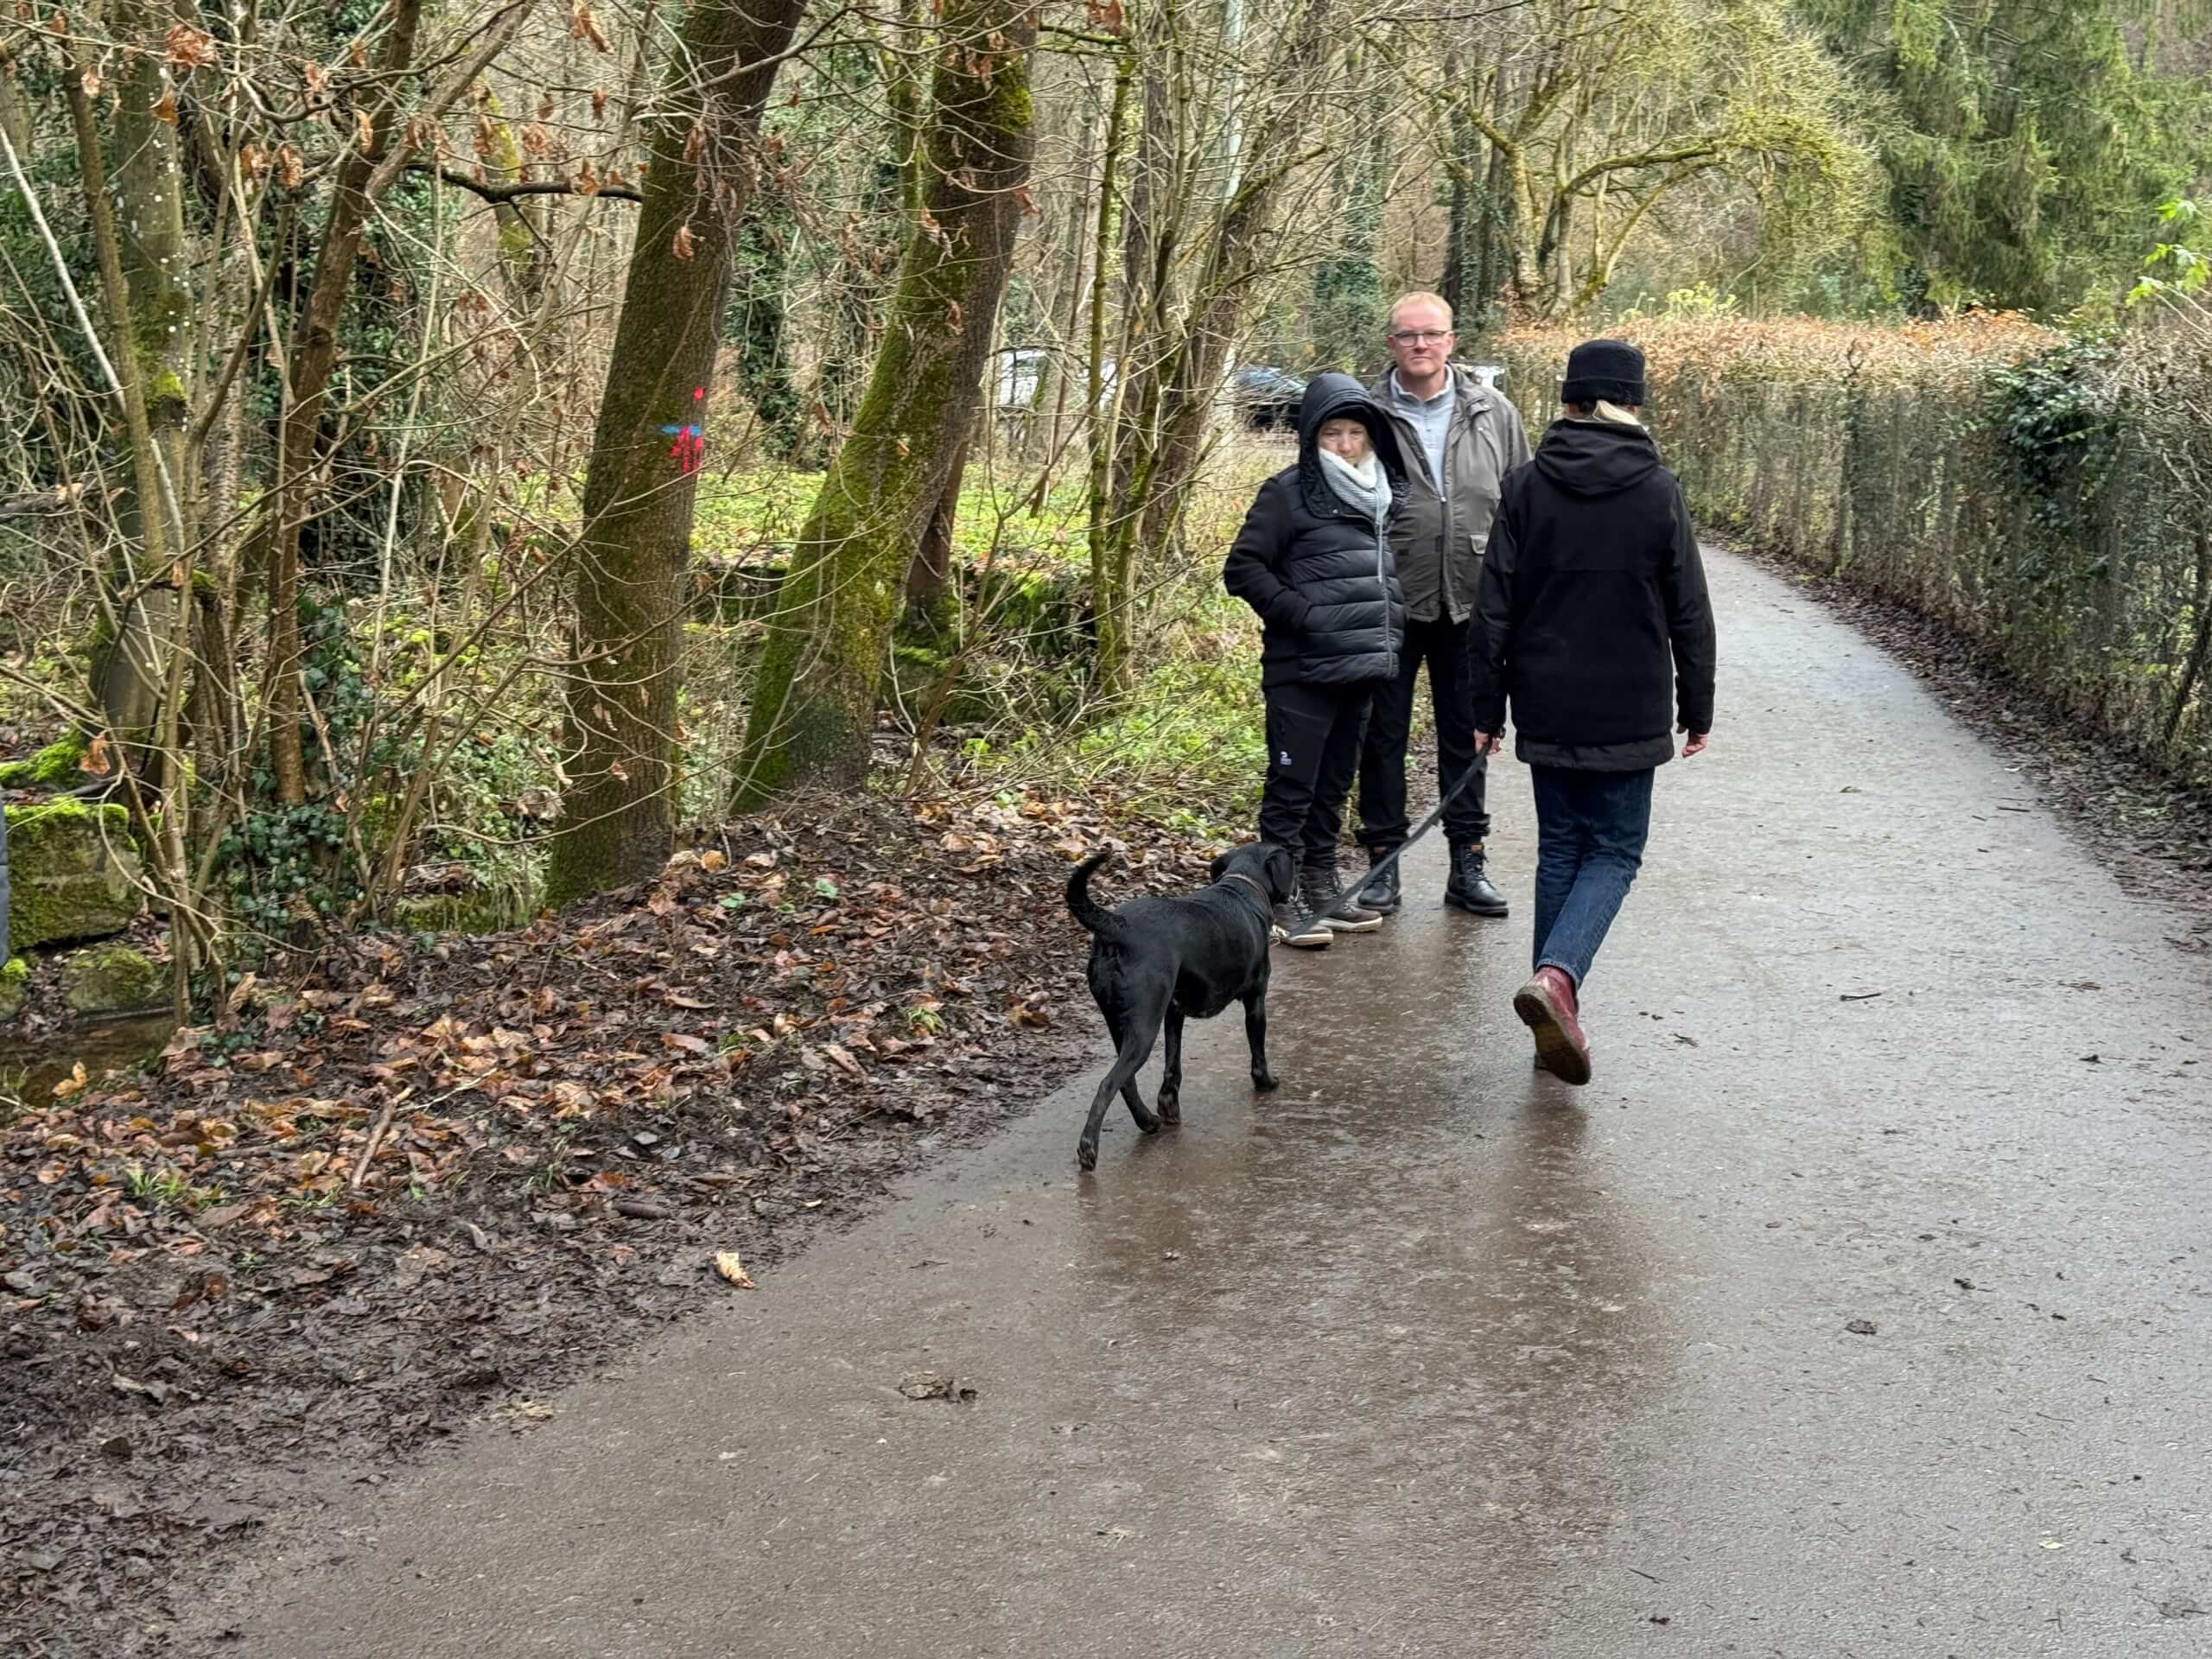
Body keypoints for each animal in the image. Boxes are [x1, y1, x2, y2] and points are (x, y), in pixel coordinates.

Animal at [1064, 841, 1295, 1171]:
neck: (1242, 886)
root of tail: (1118, 926)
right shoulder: (1256, 1001)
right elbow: (1258, 1053)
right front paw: (1266, 1082)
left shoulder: (1174, 1012)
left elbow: (1173, 1066)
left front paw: (1169, 1106)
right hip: (1144, 1028)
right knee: (1109, 1084)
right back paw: (1089, 1149)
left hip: (1119, 1023)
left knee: (1126, 1082)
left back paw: (1148, 1121)